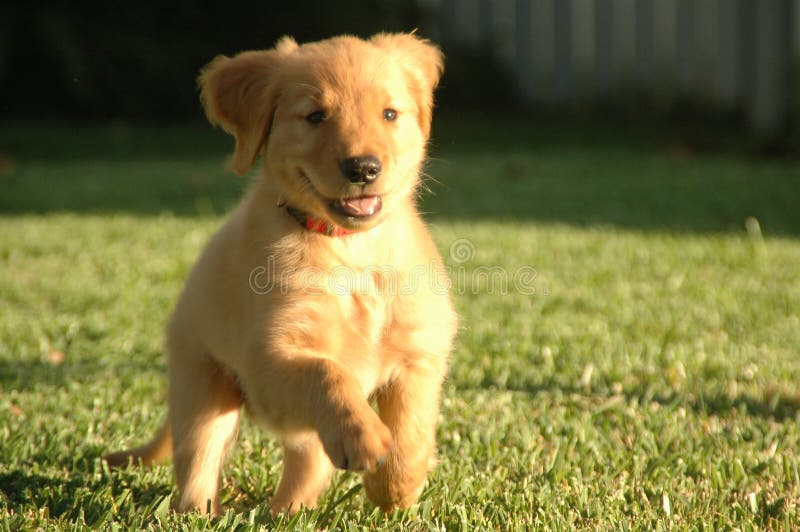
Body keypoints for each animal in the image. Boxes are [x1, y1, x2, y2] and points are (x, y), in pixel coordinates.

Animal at [104, 33, 460, 516]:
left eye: (390, 114)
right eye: (315, 116)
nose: (363, 169)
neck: (350, 250)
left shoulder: (419, 353)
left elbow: (412, 426)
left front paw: (395, 488)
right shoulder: (268, 361)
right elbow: (327, 373)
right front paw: (365, 436)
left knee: (308, 463)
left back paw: (287, 512)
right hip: (202, 384)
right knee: (198, 463)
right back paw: (205, 513)